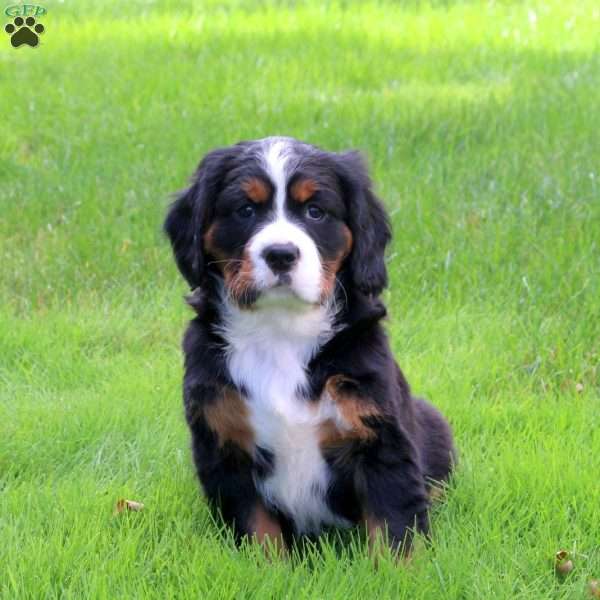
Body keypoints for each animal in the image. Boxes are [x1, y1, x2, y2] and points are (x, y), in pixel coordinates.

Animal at [164, 135, 454, 552]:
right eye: (245, 210)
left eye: (315, 212)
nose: (281, 254)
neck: (280, 331)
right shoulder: (224, 443)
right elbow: (258, 532)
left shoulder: (379, 437)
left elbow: (394, 528)